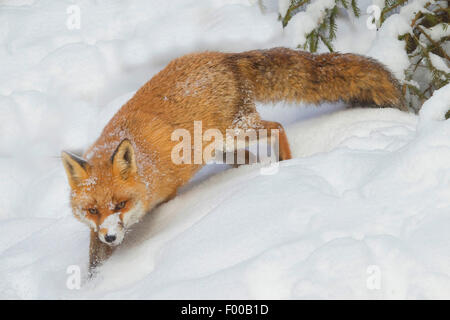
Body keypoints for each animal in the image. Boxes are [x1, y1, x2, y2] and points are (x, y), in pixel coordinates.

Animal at [62, 48, 408, 272]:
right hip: (224, 148)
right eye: (92, 210)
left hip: (238, 133)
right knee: (249, 157)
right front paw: (94, 280)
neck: (145, 168)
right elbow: (93, 258)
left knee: (277, 127)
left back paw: (287, 163)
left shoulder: (168, 194)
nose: (110, 236)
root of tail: (225, 57)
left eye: (120, 204)